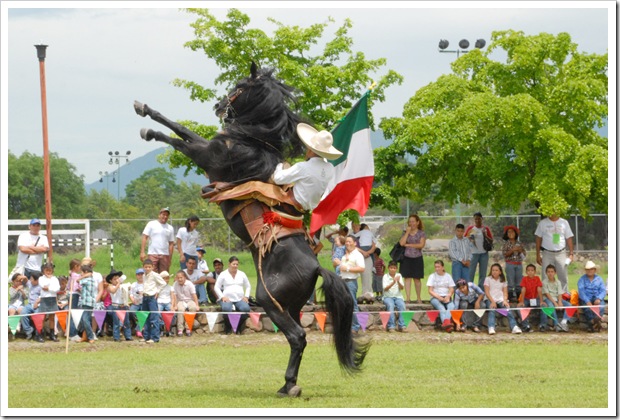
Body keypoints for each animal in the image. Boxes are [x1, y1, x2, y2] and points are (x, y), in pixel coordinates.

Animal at [134, 63, 368, 398]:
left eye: (241, 86)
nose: (220, 106)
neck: (253, 143)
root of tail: (316, 267)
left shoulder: (207, 155)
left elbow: (178, 134)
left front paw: (149, 129)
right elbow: (182, 130)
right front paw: (144, 110)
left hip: (270, 301)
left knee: (298, 336)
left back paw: (288, 385)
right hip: (290, 305)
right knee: (296, 336)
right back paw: (289, 384)